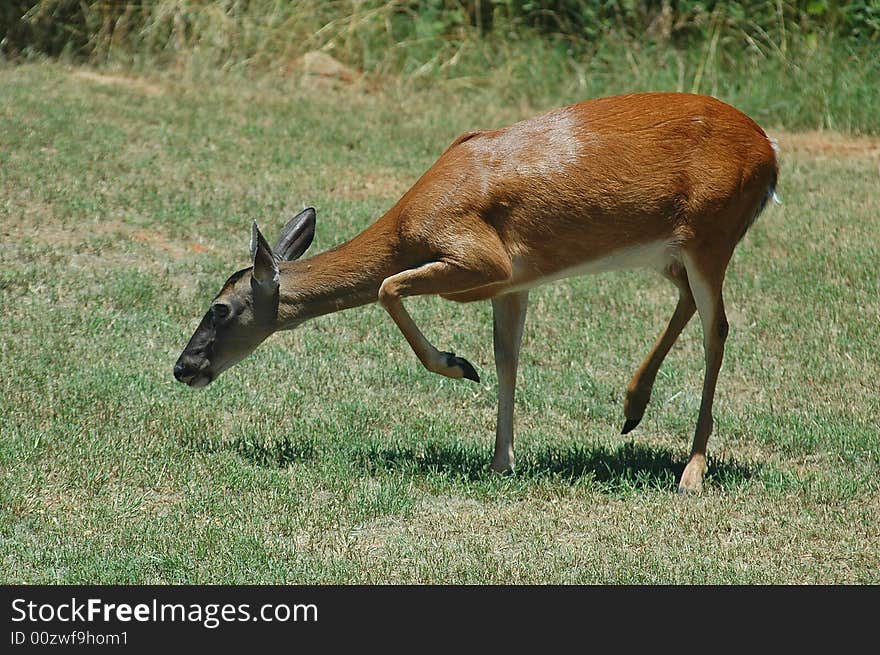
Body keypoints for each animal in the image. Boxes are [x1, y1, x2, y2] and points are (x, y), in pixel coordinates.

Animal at [172, 91, 776, 492]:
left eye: (219, 308)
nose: (183, 367)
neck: (408, 226)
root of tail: (770, 154)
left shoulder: (484, 258)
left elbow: (389, 287)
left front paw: (458, 365)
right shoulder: (514, 281)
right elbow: (508, 356)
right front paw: (501, 461)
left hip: (710, 233)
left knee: (718, 330)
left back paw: (692, 471)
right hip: (672, 252)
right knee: (691, 305)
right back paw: (632, 408)